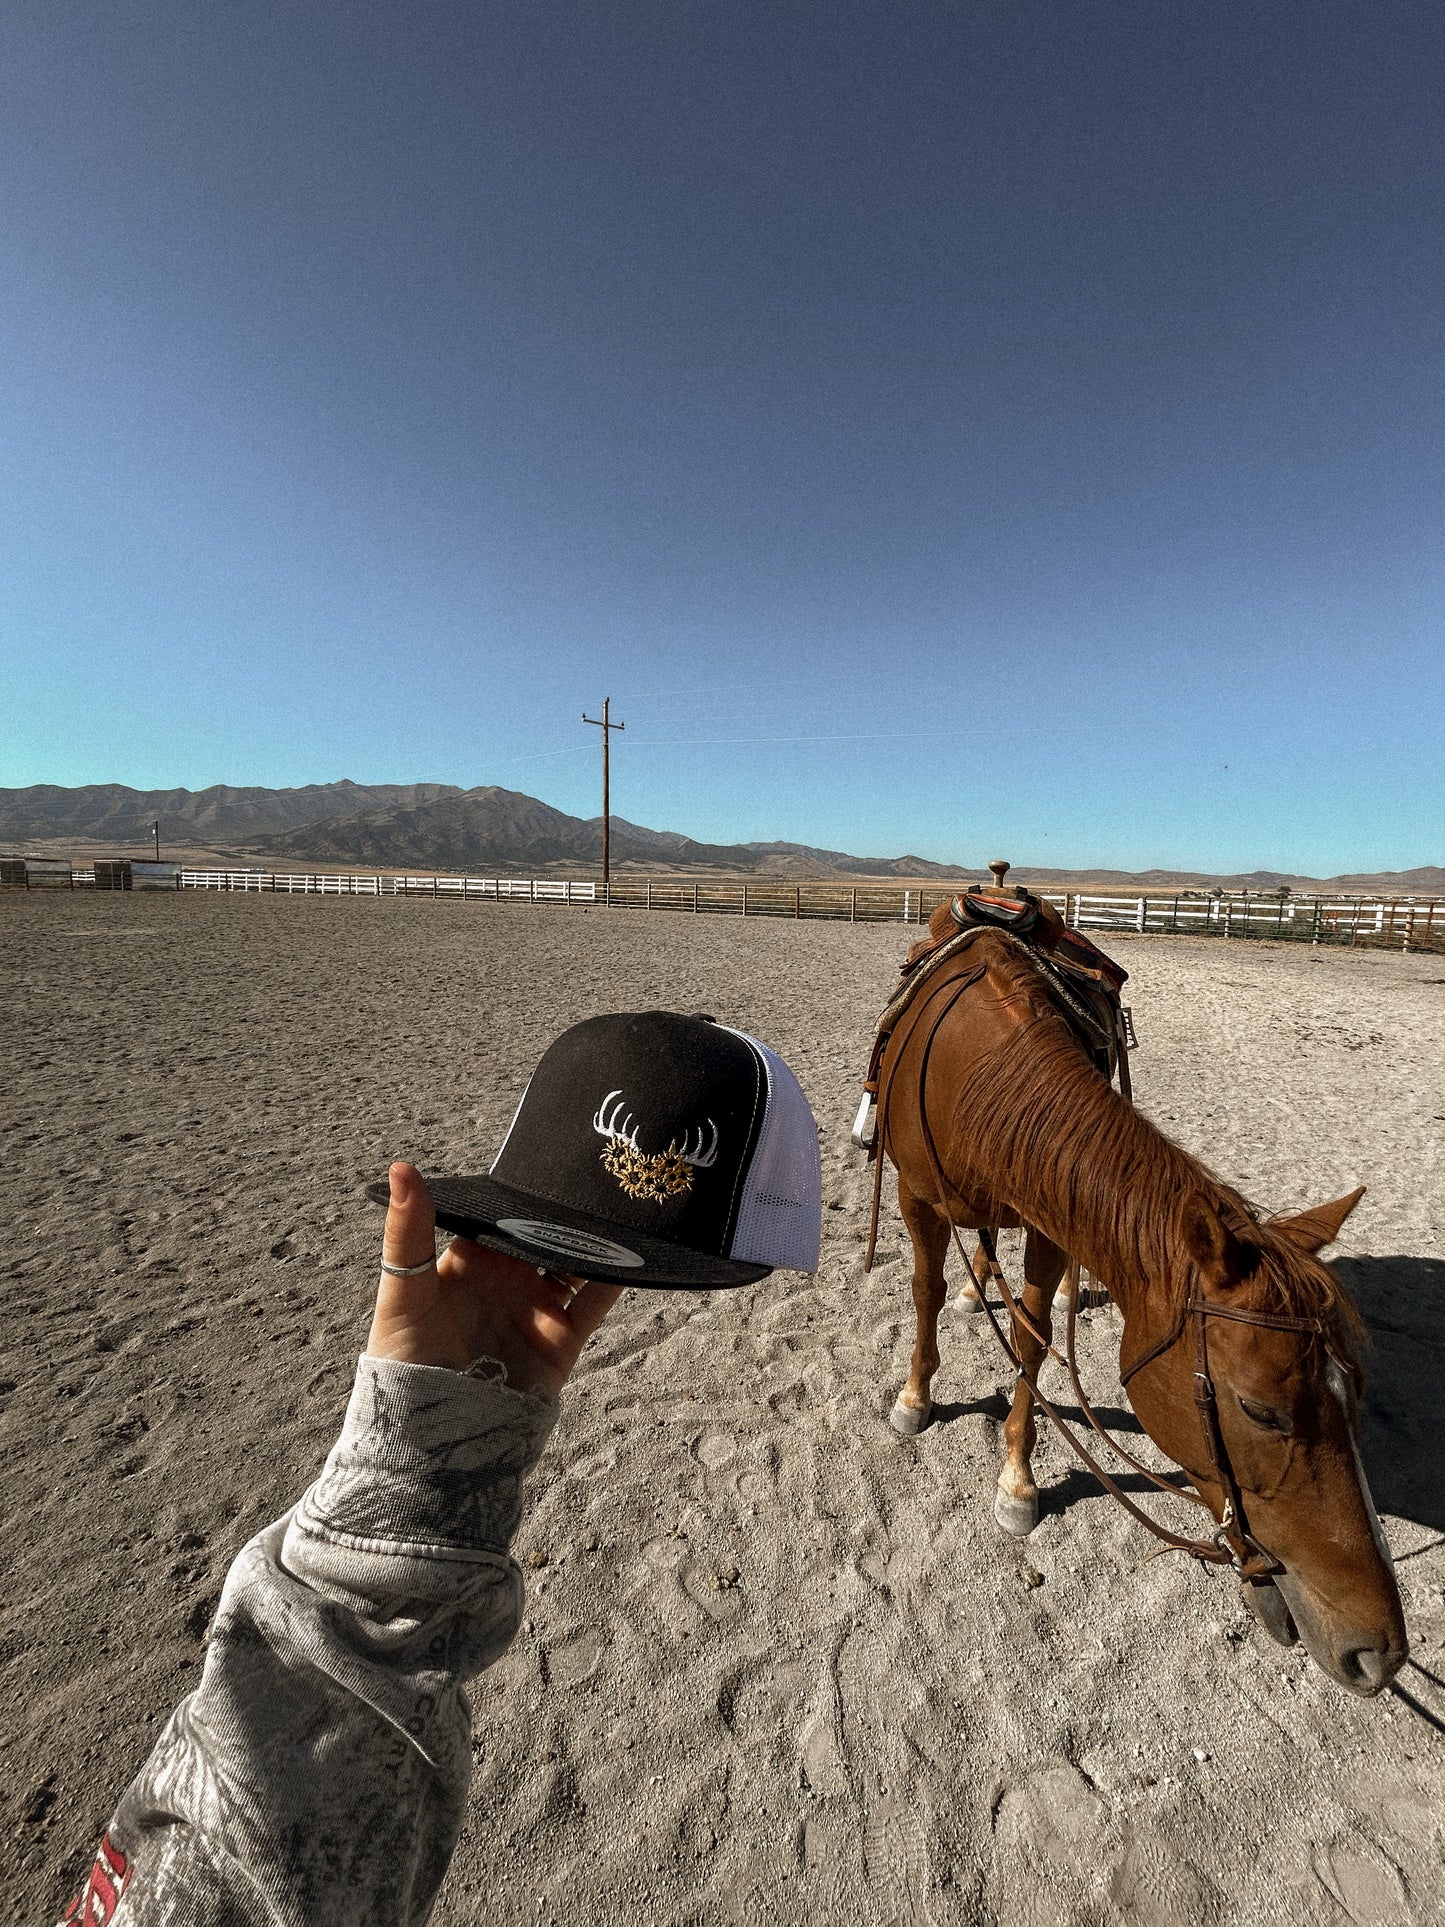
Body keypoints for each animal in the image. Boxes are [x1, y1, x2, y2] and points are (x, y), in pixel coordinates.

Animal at [878, 924, 1410, 1695]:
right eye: (1260, 1411)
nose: (1380, 1652)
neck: (976, 1067)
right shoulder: (916, 1197)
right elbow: (925, 1293)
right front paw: (915, 1397)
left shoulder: (1048, 1216)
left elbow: (1032, 1337)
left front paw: (1017, 1477)